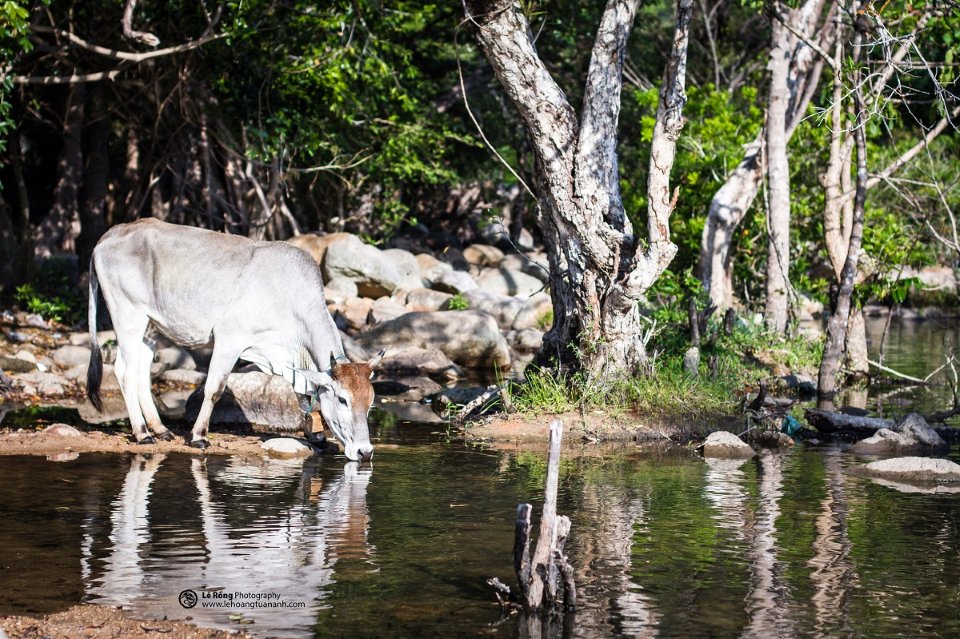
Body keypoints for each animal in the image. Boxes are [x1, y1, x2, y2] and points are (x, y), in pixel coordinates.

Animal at [84, 219, 380, 460]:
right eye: (342, 400)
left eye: (370, 403)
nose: (365, 452)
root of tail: (110, 234)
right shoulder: (229, 339)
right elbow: (214, 388)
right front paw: (199, 437)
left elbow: (303, 398)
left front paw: (315, 436)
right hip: (128, 315)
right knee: (124, 371)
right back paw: (142, 433)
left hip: (151, 325)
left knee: (141, 370)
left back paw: (159, 429)